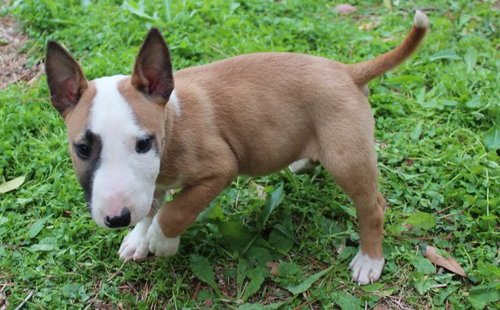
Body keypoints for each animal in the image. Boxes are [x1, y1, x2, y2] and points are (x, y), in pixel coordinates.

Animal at [45, 10, 430, 284]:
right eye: (82, 149)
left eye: (143, 143)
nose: (116, 218)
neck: (173, 119)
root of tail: (346, 71)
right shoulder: (152, 181)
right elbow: (153, 204)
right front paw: (139, 236)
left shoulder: (219, 169)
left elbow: (174, 210)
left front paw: (161, 241)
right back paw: (303, 161)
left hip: (346, 157)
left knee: (373, 207)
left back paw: (369, 260)